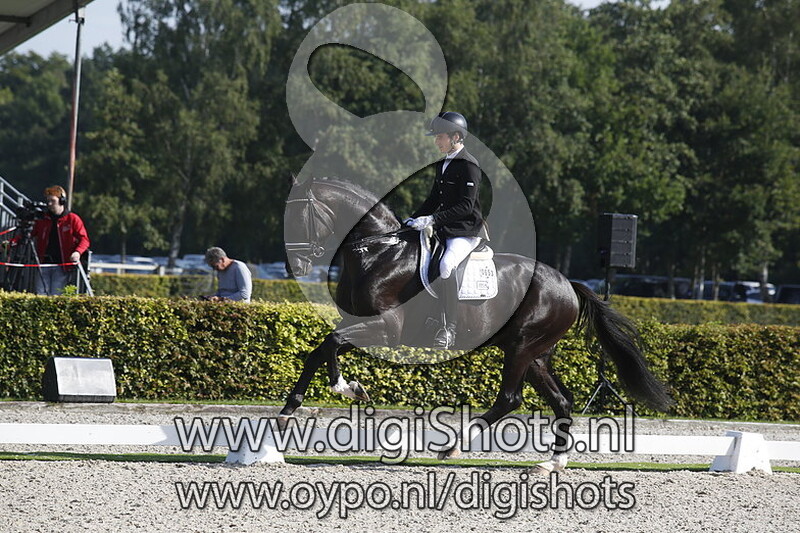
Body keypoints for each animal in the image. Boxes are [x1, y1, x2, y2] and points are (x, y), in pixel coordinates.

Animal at [282, 177, 672, 472]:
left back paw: (454, 447)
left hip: (522, 347)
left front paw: (339, 391)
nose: (295, 267)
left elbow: (332, 342)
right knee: (561, 401)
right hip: (535, 355)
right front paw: (297, 407)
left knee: (510, 399)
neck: (379, 252)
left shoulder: (386, 328)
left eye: (300, 214)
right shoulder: (356, 322)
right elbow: (322, 348)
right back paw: (552, 463)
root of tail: (568, 284)